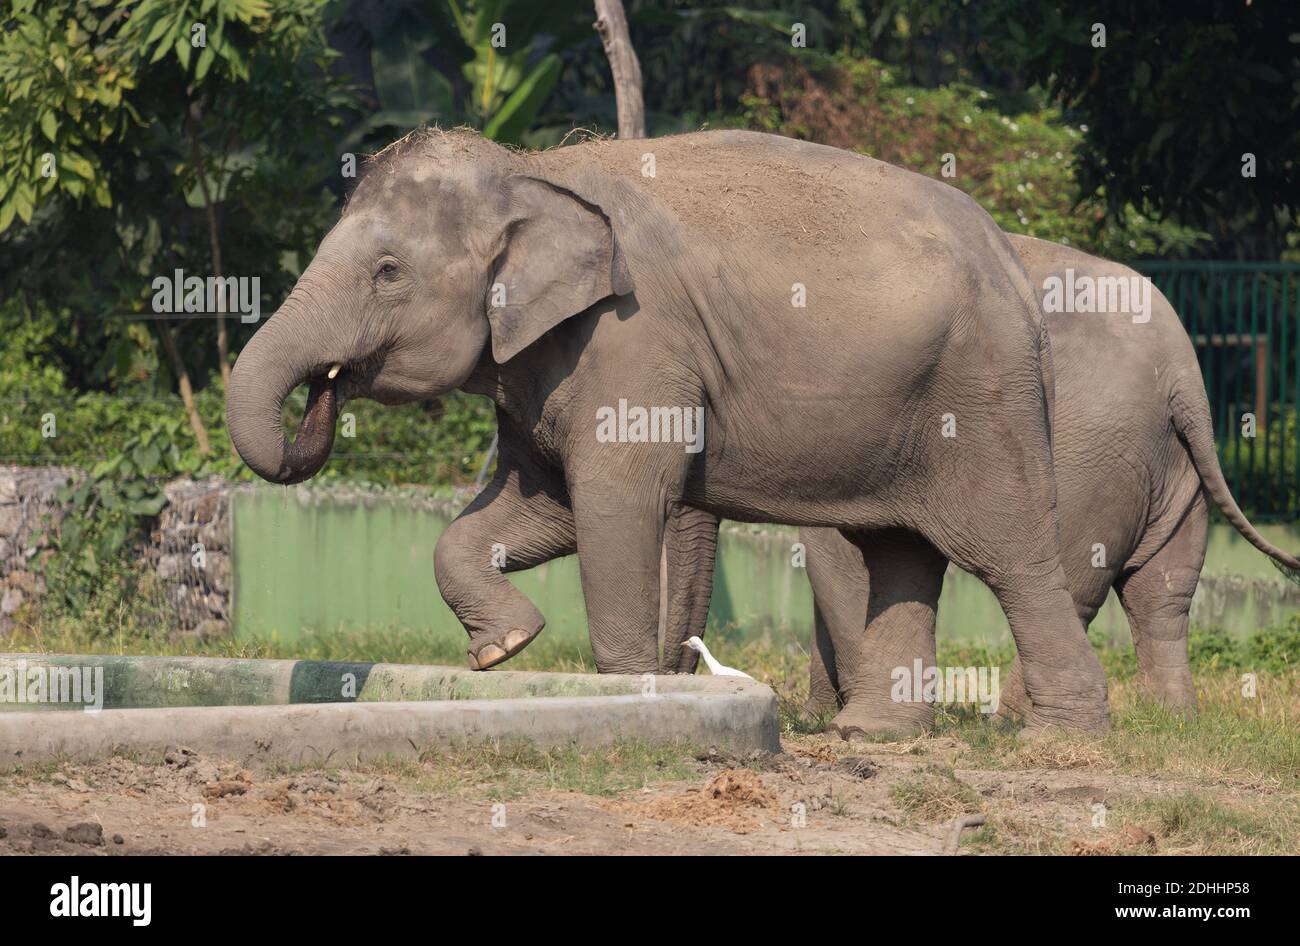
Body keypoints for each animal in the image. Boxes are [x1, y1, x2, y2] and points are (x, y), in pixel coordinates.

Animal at [226, 125, 1107, 732]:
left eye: (387, 272)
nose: (327, 387)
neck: (532, 169)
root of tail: (1012, 261)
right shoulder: (545, 366)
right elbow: (533, 509)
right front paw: (503, 649)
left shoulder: (629, 339)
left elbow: (613, 505)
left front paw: (614, 693)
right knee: (900, 554)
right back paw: (874, 735)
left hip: (984, 395)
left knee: (1009, 554)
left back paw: (1060, 738)